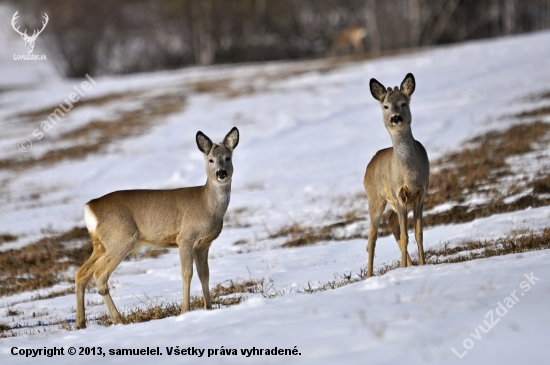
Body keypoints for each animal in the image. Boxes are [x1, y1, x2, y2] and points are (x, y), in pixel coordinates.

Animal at [76, 127, 240, 328]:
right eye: (210, 160)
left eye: (228, 157)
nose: (221, 173)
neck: (207, 204)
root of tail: (90, 207)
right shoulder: (185, 238)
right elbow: (187, 273)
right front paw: (185, 311)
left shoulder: (203, 244)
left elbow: (205, 274)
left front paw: (208, 309)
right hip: (122, 239)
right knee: (99, 275)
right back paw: (119, 320)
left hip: (101, 245)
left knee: (81, 273)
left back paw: (81, 323)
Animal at [366, 74, 432, 278]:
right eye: (386, 106)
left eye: (404, 103)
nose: (396, 117)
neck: (408, 173)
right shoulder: (398, 194)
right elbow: (405, 236)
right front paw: (404, 269)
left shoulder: (420, 193)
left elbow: (418, 233)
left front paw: (423, 264)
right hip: (375, 199)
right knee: (372, 238)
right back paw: (369, 276)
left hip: (394, 204)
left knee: (392, 222)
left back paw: (409, 264)